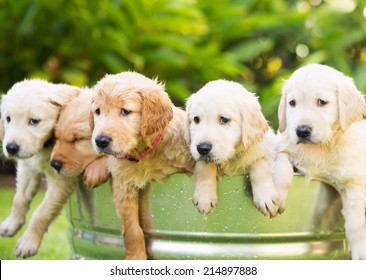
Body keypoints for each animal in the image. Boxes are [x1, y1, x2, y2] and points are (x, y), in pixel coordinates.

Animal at [0, 79, 79, 258]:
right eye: (8, 119)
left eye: (34, 121)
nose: (11, 148)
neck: (46, 146)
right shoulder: (28, 168)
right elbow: (19, 199)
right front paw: (11, 224)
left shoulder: (62, 181)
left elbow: (42, 212)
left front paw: (28, 243)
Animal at [90, 71, 196, 260]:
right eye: (98, 111)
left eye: (125, 111)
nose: (100, 141)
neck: (142, 152)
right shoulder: (123, 186)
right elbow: (132, 229)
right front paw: (135, 257)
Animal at [187, 80, 294, 217]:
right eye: (196, 119)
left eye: (224, 119)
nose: (202, 148)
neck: (232, 157)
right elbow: (203, 165)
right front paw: (204, 197)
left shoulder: (268, 151)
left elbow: (260, 164)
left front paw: (266, 197)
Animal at [278, 64, 366, 260]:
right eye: (292, 103)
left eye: (322, 102)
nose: (302, 131)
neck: (322, 147)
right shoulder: (286, 147)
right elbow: (281, 161)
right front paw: (275, 196)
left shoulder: (355, 182)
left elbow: (356, 221)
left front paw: (359, 250)